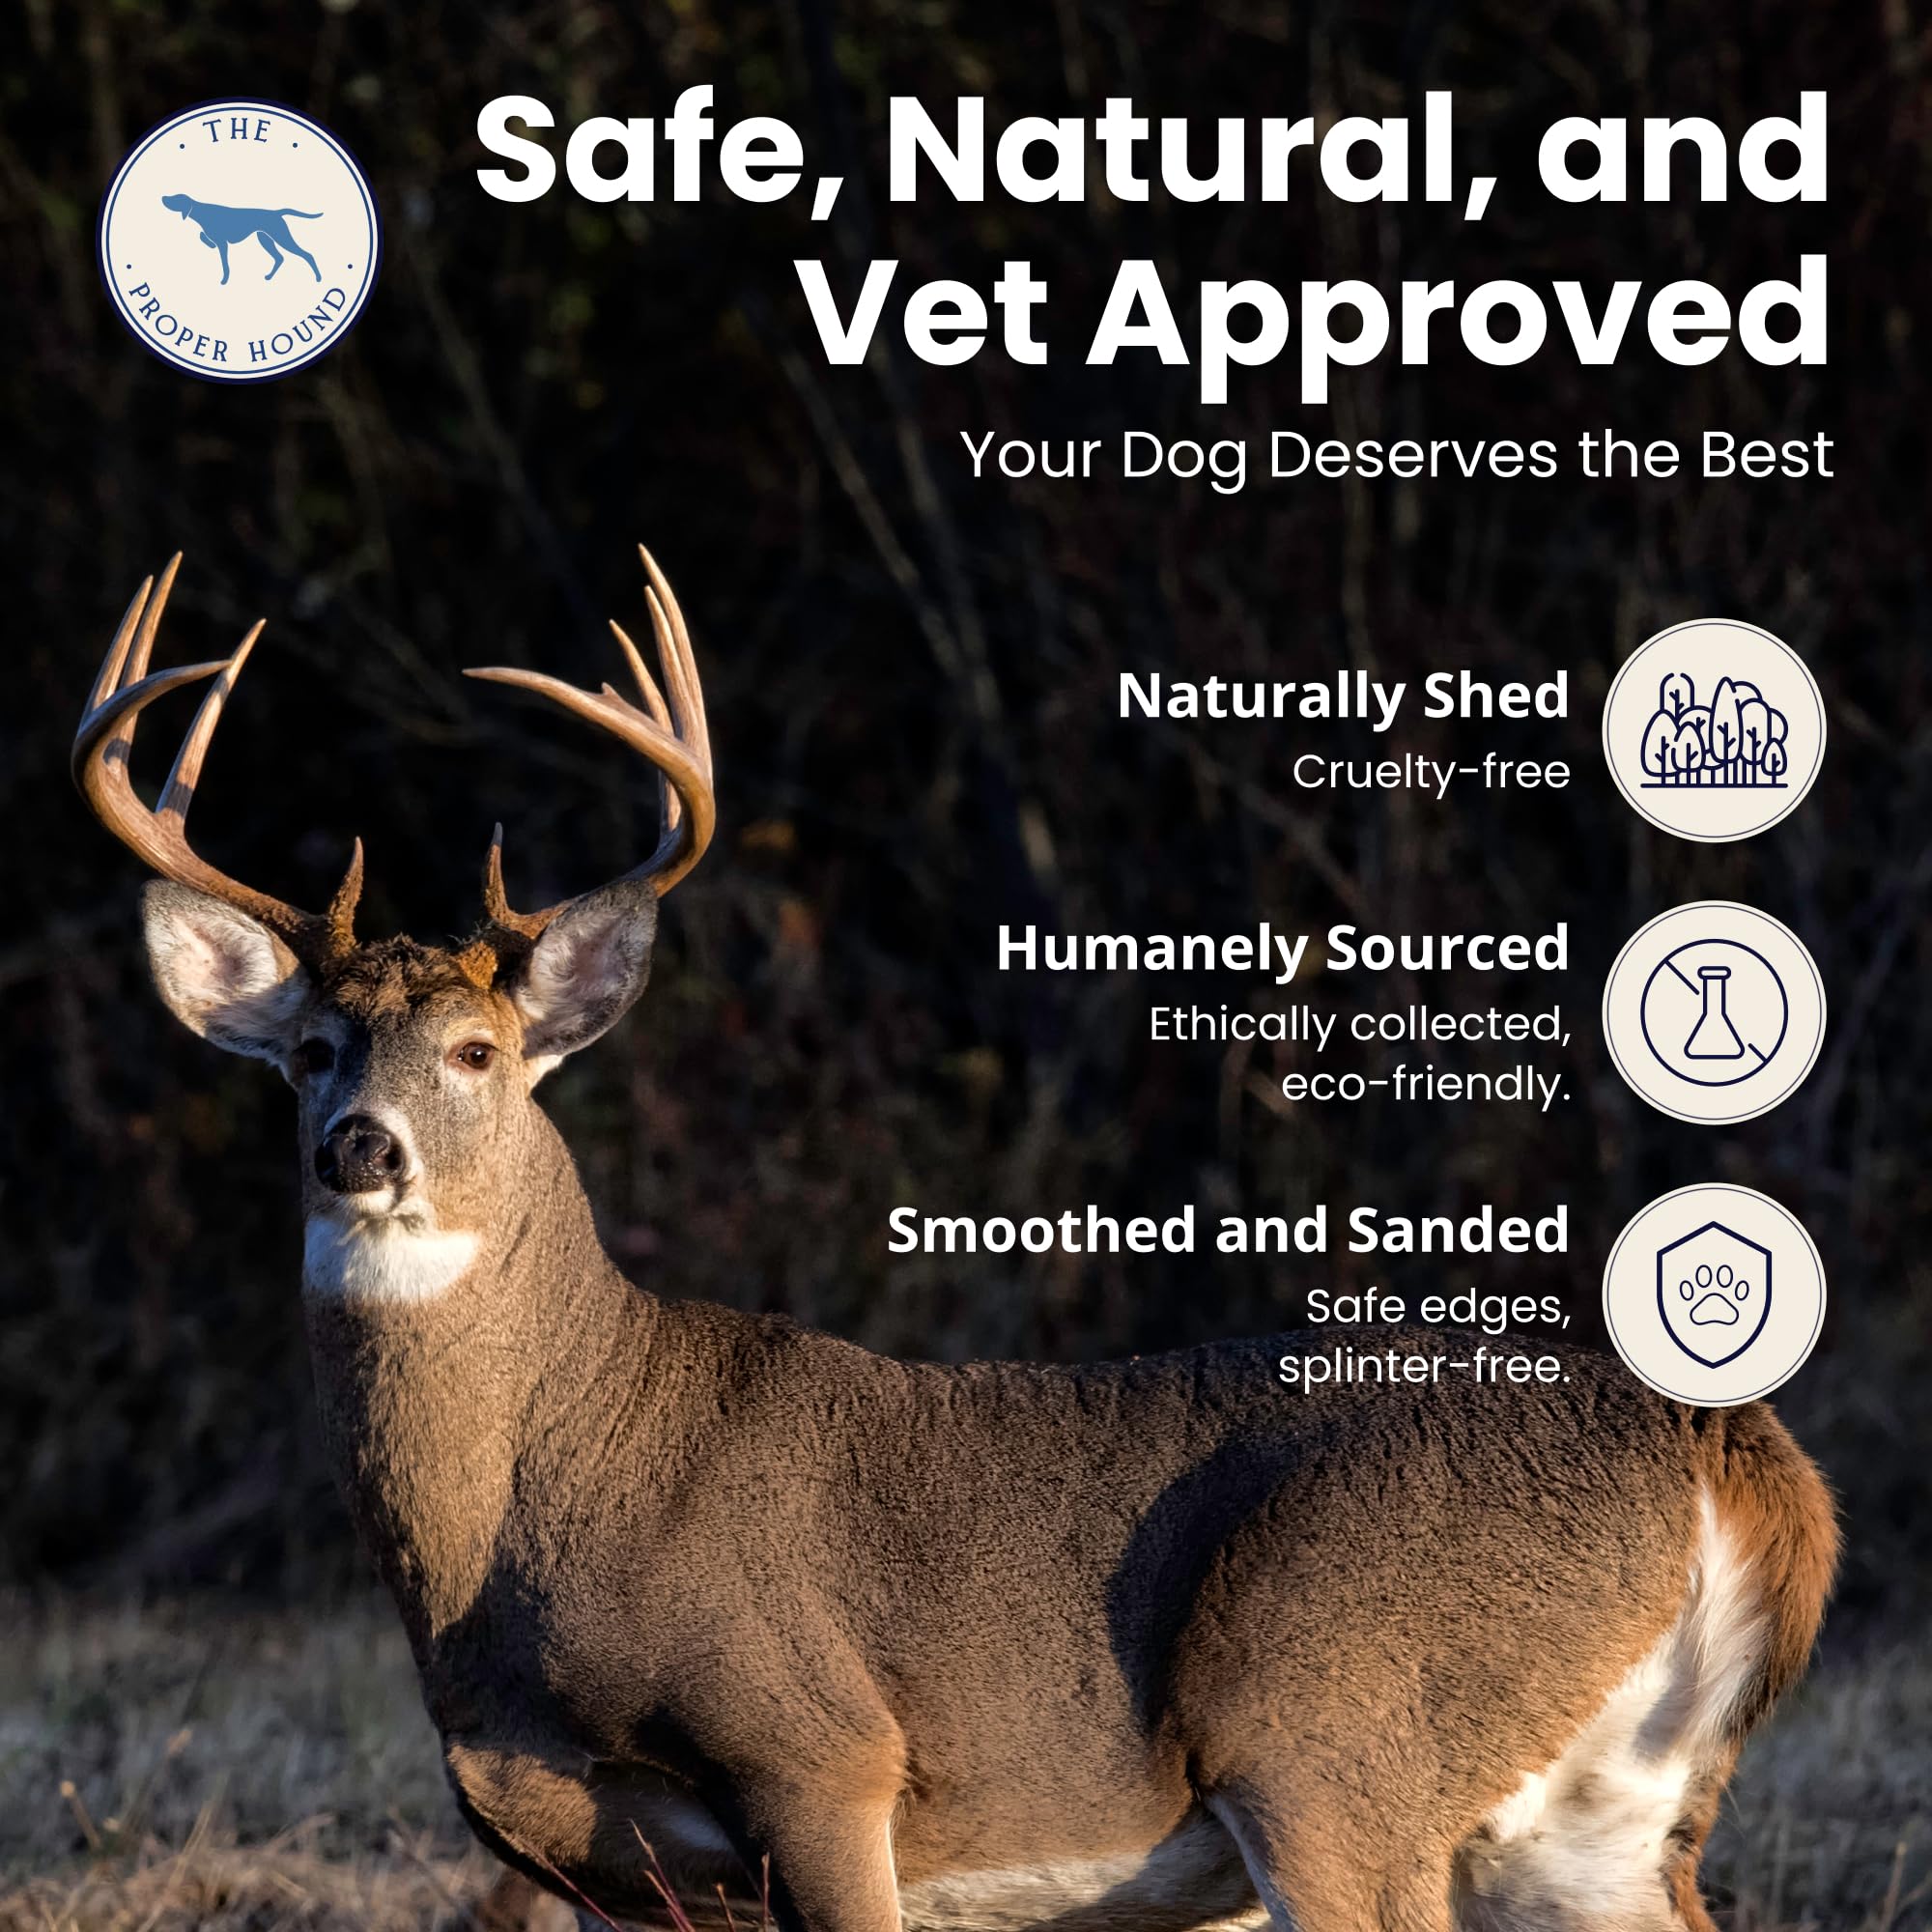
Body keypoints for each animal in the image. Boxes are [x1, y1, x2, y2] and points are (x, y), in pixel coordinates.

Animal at [76, 547, 1836, 1932]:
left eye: (476, 1053)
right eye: (311, 1050)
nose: (359, 1145)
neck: (522, 1525)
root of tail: (1730, 1446)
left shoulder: (825, 1757)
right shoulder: (601, 1872)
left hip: (1333, 1729)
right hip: (1595, 1817)